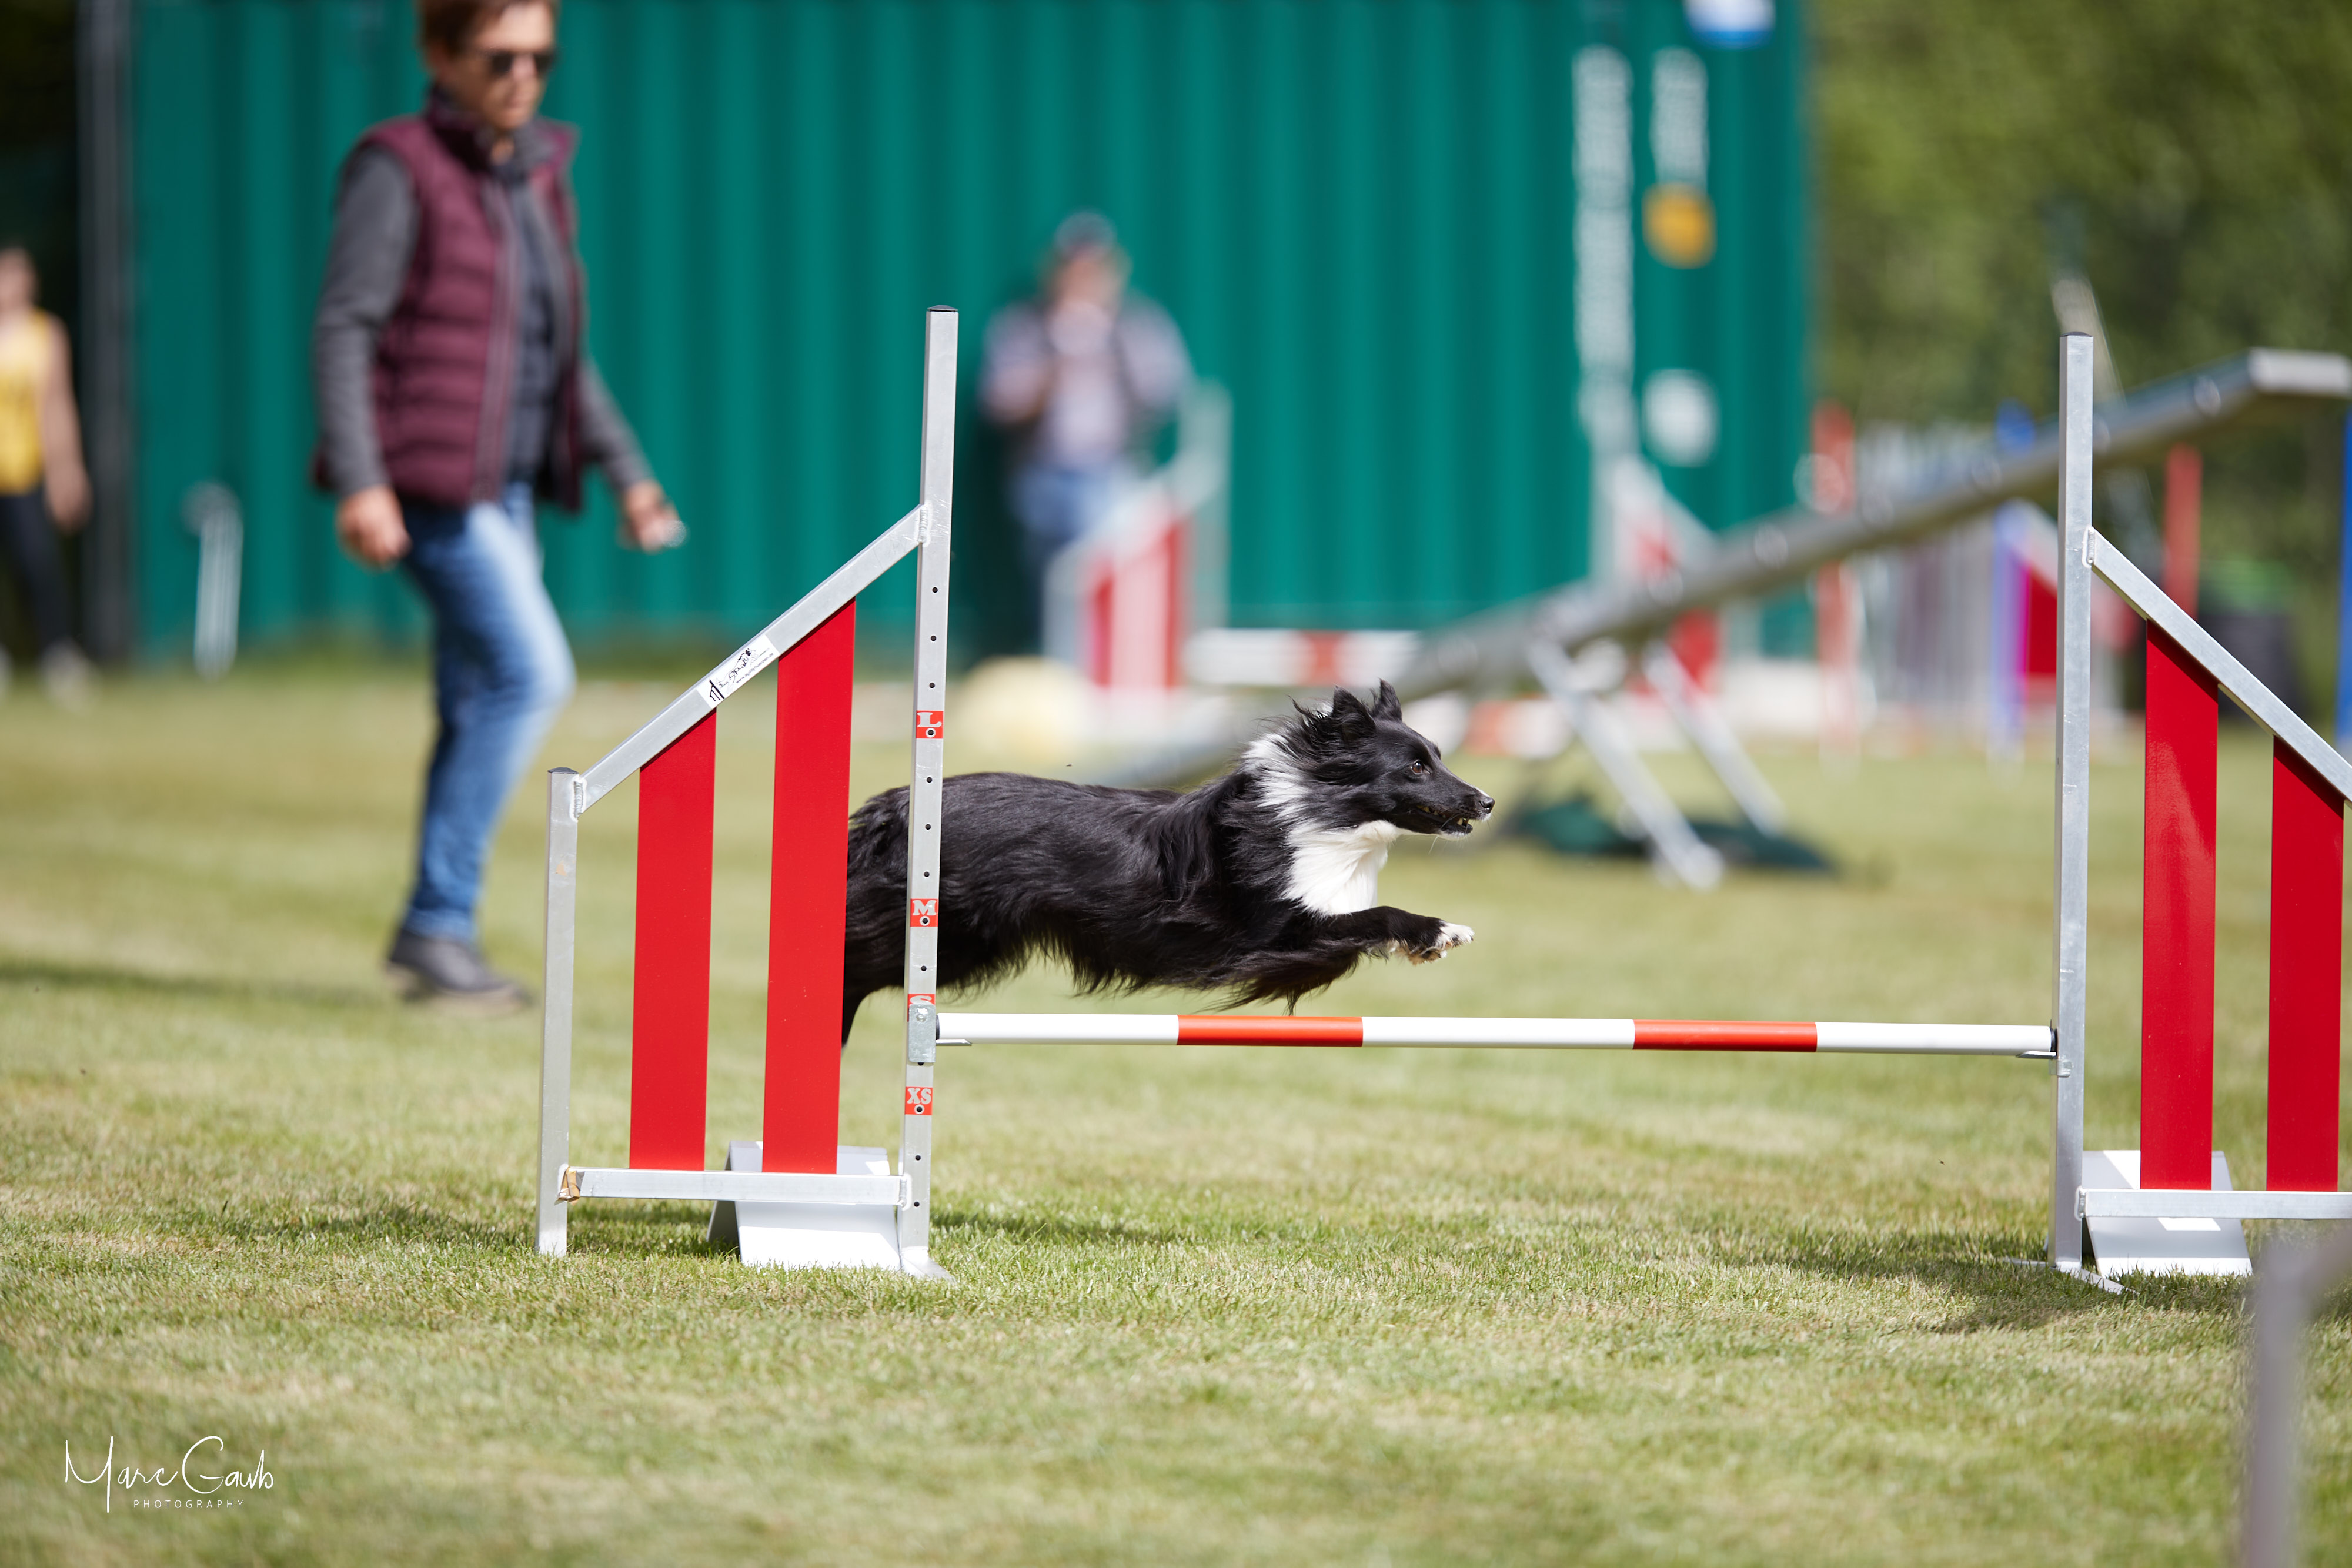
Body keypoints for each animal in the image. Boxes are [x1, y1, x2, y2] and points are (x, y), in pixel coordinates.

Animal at [839, 681, 1494, 1037]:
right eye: (1415, 767)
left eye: (1438, 756)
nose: (1486, 800)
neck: (1318, 815)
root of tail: (898, 803)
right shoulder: (1275, 936)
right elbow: (1374, 916)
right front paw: (1438, 930)